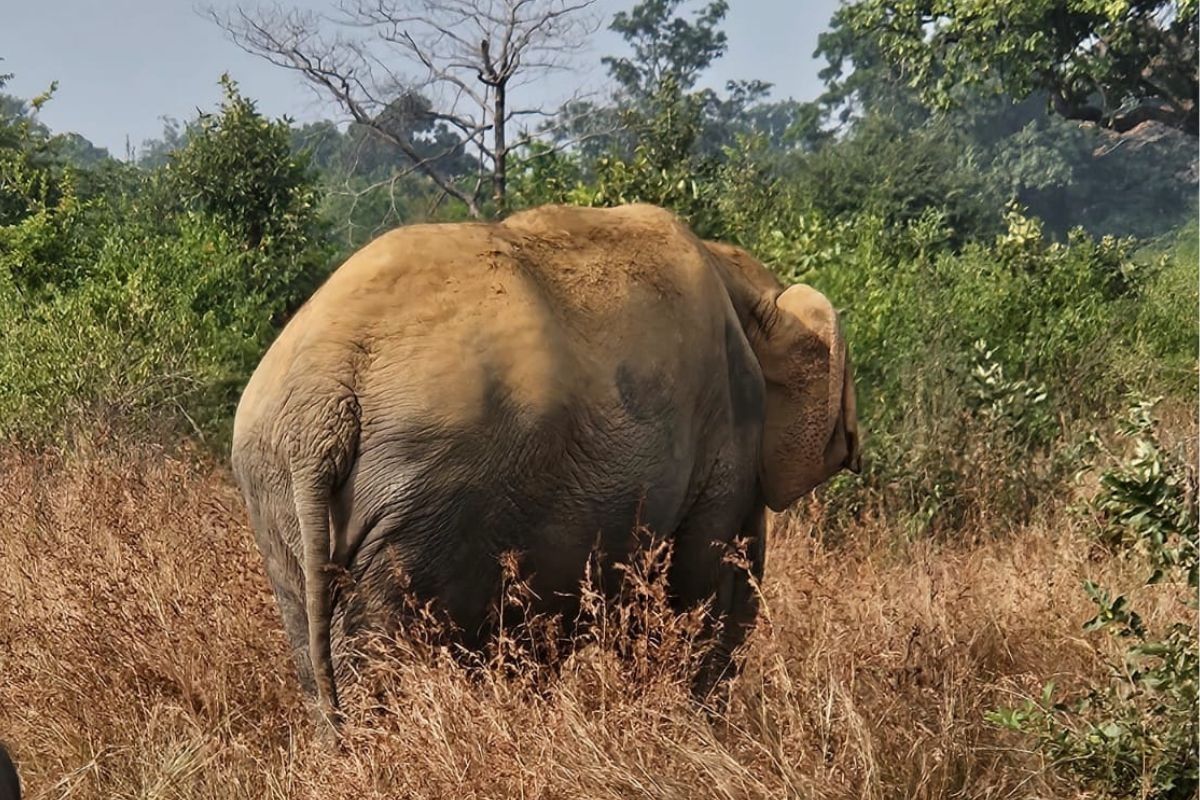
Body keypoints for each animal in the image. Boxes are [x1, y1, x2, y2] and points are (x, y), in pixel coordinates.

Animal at [230, 202, 861, 730]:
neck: (738, 278)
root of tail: (324, 391)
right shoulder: (727, 434)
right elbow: (704, 584)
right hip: (426, 493)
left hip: (283, 494)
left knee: (313, 636)